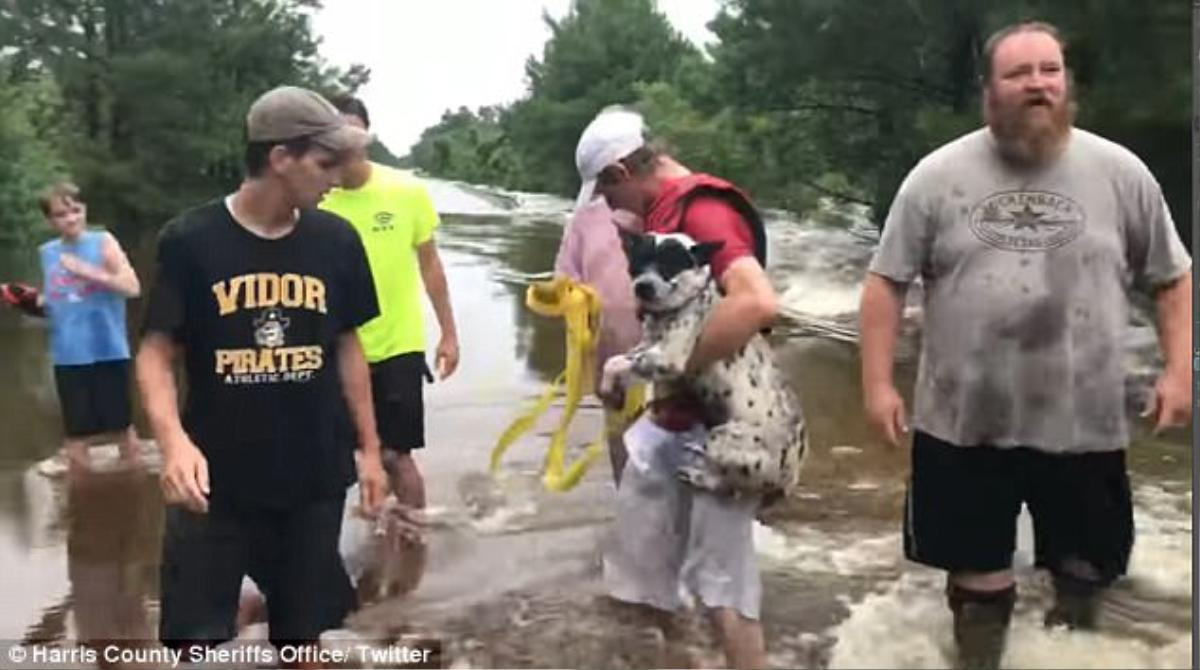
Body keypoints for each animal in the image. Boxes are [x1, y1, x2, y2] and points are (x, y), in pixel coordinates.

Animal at [600, 234, 806, 501]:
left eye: (670, 263)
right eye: (638, 260)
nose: (643, 286)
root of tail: (793, 473)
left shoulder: (667, 358)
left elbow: (618, 362)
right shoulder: (646, 347)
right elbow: (614, 360)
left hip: (723, 439)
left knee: (729, 485)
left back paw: (700, 476)